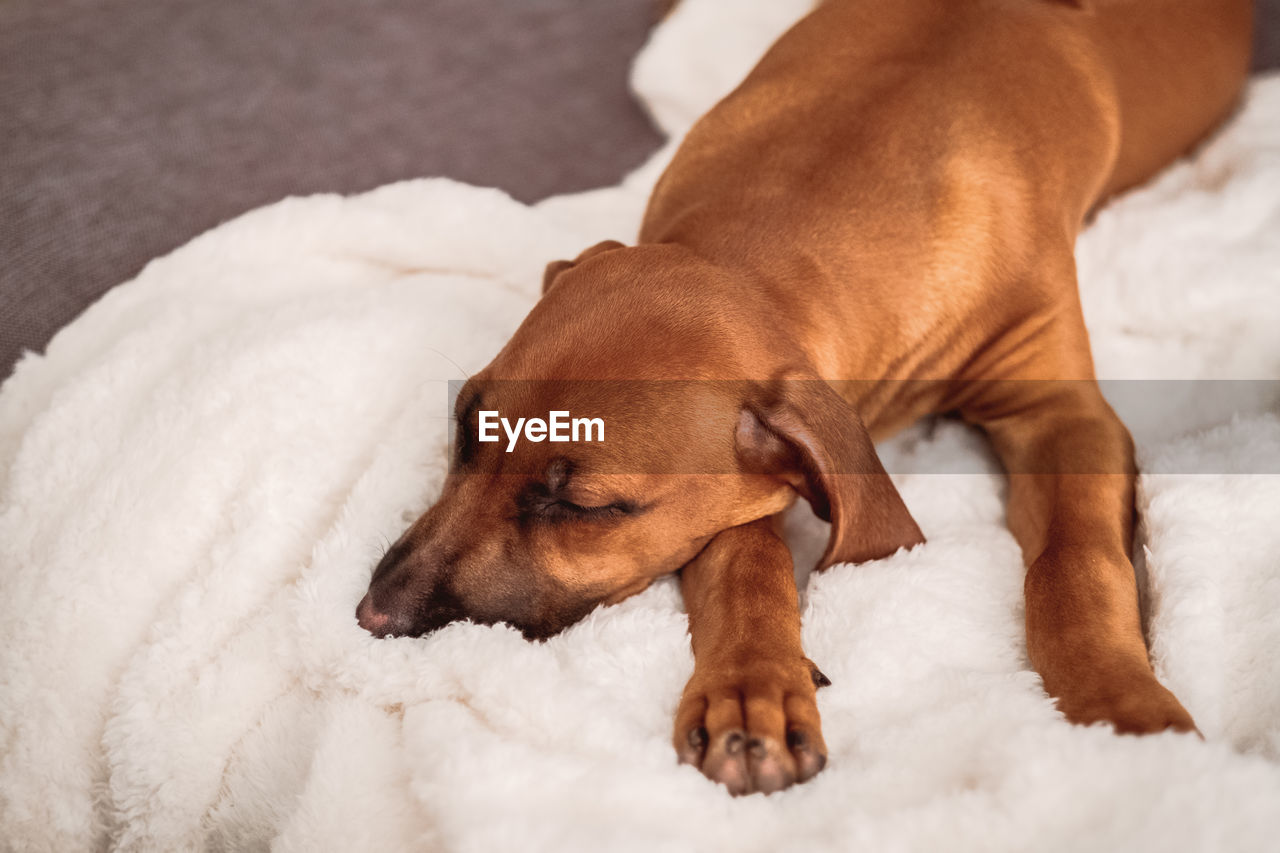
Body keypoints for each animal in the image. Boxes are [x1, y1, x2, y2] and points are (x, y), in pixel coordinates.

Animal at [355, 0, 1254, 794]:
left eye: (585, 508)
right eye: (465, 428)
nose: (371, 617)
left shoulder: (1064, 411)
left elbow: (1076, 557)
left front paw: (1121, 707)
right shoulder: (735, 482)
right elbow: (744, 563)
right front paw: (750, 692)